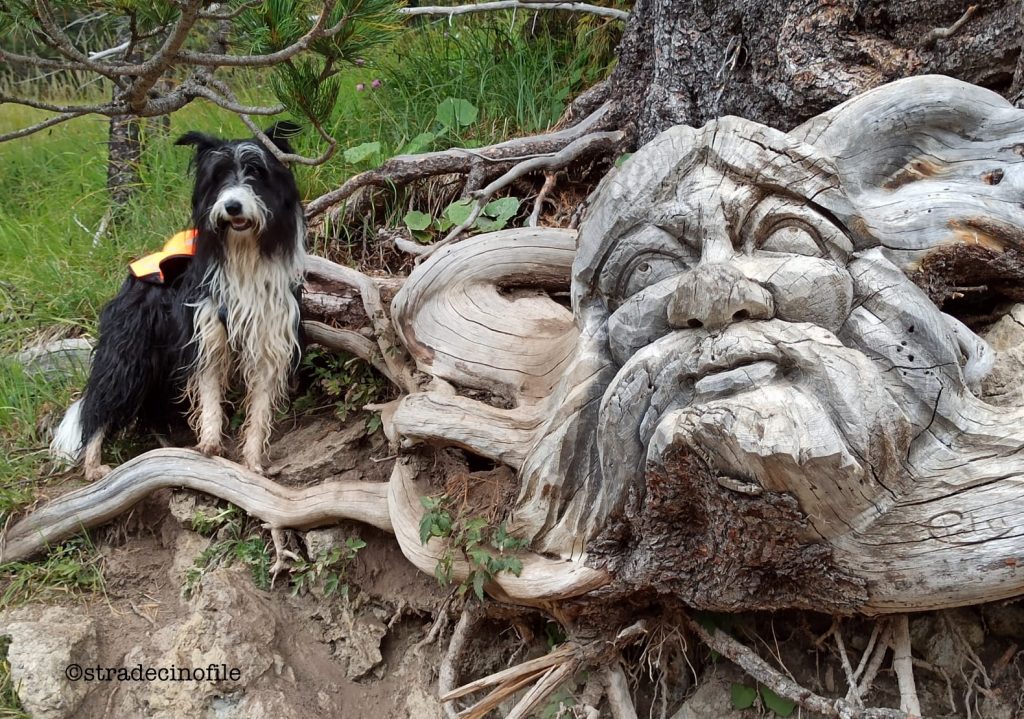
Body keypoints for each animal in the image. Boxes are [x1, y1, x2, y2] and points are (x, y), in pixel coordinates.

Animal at [51, 123, 305, 481]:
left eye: (256, 173)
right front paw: (210, 443)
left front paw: (253, 461)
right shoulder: (205, 331)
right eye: (218, 177)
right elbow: (210, 392)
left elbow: (259, 408)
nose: (232, 206)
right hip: (129, 357)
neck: (244, 255)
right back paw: (93, 464)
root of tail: (133, 275)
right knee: (99, 408)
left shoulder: (268, 338)